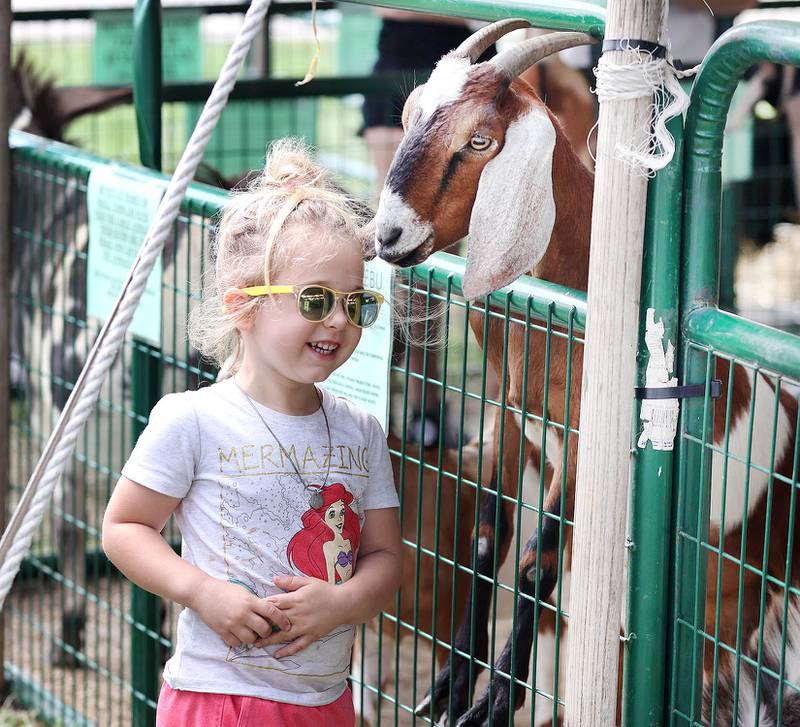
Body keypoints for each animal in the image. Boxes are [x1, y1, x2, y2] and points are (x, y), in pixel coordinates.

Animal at [372, 18, 796, 727]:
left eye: (479, 140)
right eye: (406, 117)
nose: (388, 236)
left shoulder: (583, 444)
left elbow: (537, 560)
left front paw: (496, 700)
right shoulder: (507, 419)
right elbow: (487, 538)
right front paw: (452, 685)